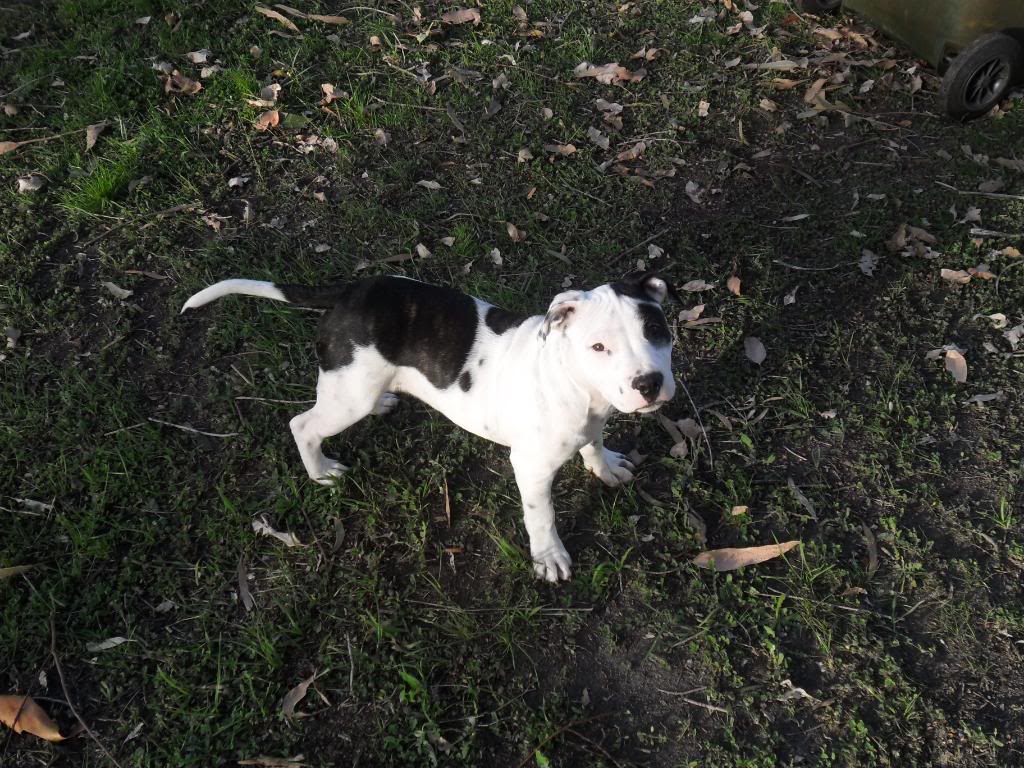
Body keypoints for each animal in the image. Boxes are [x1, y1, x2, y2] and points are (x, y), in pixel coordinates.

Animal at [185, 274, 675, 581]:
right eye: (598, 347)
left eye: (655, 329)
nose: (648, 384)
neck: (578, 385)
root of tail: (349, 292)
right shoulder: (531, 467)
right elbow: (542, 516)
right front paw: (548, 557)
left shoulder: (594, 419)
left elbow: (593, 444)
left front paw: (605, 466)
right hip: (347, 398)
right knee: (302, 423)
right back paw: (320, 470)